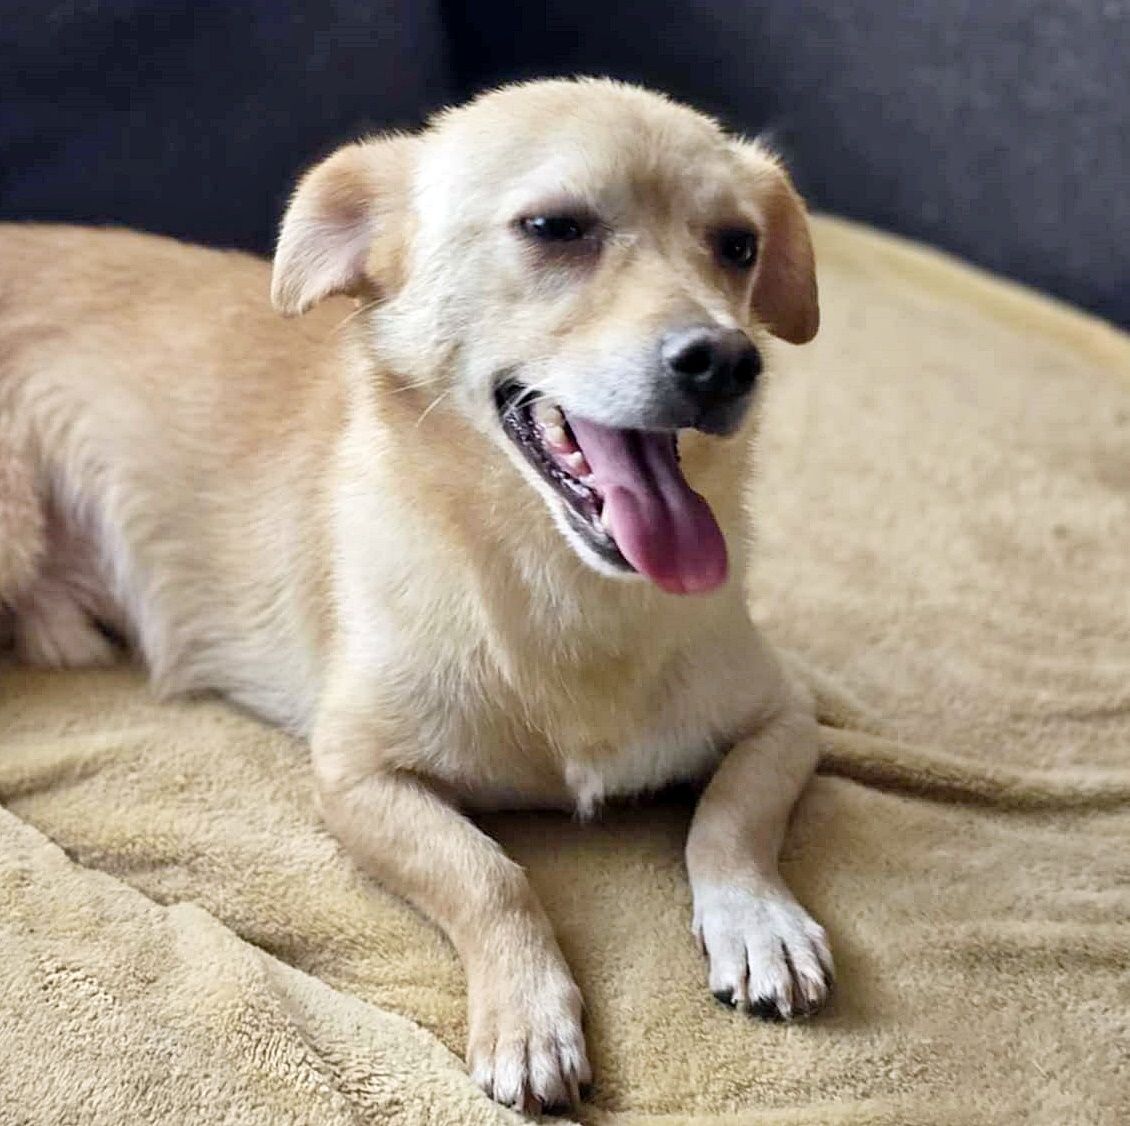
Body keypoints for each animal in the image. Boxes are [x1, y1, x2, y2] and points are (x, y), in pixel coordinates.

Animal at [0, 78, 830, 1114]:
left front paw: (757, 921)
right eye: (555, 227)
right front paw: (528, 1012)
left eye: (739, 246)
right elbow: (490, 875)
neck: (562, 592)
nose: (726, 360)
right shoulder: (354, 776)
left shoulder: (790, 717)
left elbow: (732, 817)